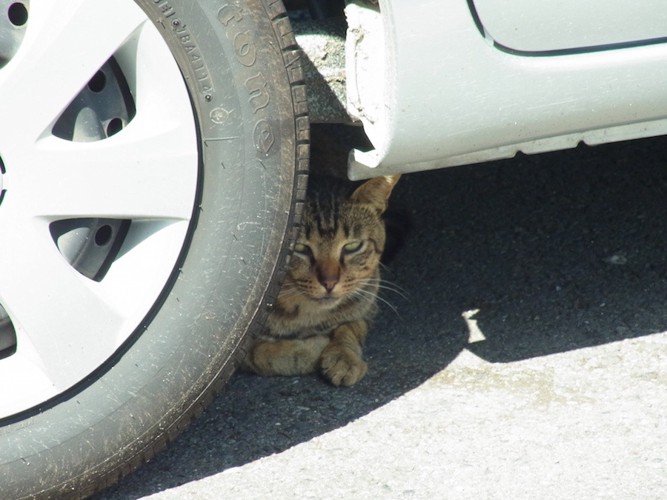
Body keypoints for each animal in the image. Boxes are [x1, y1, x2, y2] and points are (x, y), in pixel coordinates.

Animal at [243, 175, 400, 386]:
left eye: (352, 246)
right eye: (299, 248)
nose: (329, 283)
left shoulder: (366, 307)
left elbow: (350, 327)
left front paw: (344, 356)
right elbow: (264, 354)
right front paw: (312, 350)